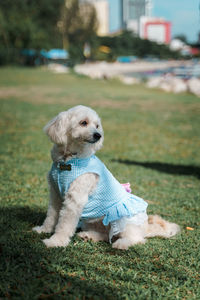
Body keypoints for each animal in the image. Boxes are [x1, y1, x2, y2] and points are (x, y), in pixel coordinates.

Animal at [32, 106, 180, 250]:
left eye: (97, 125)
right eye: (83, 122)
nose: (98, 135)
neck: (68, 159)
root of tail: (145, 227)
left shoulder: (75, 199)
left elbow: (64, 225)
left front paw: (56, 241)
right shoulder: (55, 194)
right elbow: (51, 216)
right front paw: (44, 230)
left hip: (125, 220)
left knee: (137, 239)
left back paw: (122, 244)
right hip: (93, 222)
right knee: (106, 235)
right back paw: (88, 236)